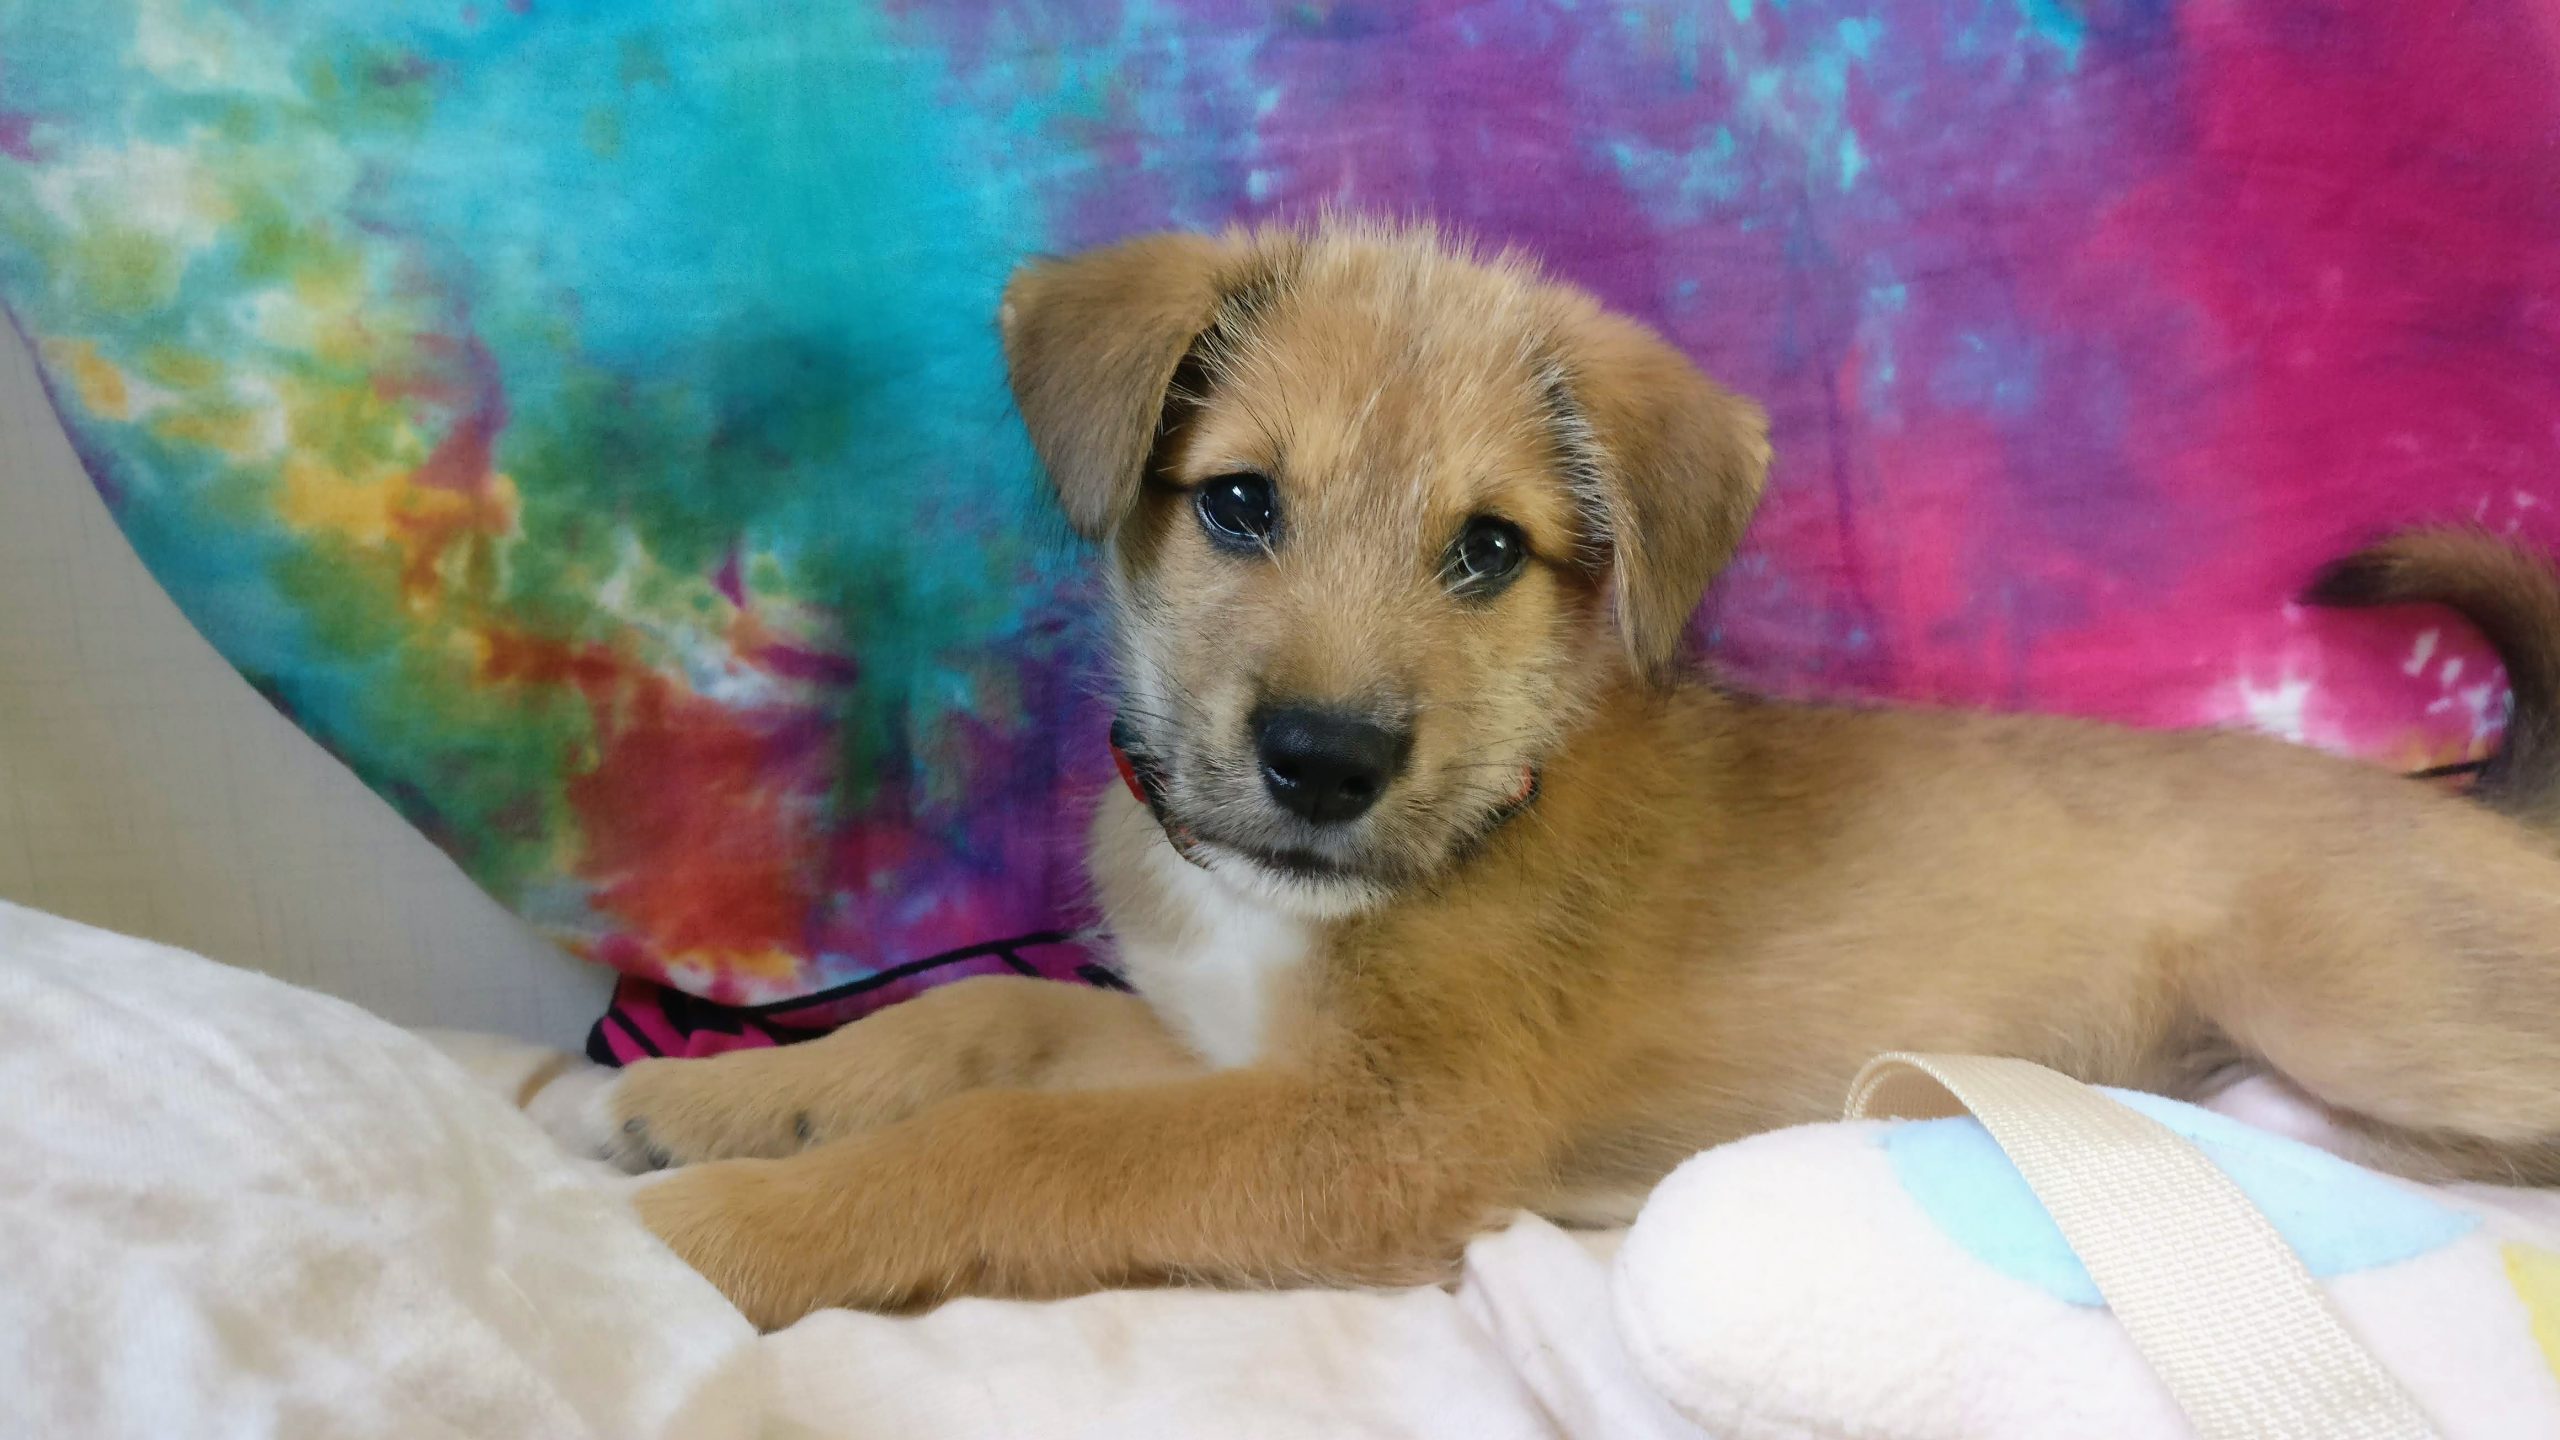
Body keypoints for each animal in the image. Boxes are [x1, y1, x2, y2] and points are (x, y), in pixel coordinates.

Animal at [596, 219, 2560, 1330]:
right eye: (1239, 503)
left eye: (1486, 552)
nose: (1321, 761)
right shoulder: (1218, 1050)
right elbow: (968, 1024)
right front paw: (716, 1100)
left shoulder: (1375, 1137)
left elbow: (1006, 1143)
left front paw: (729, 1231)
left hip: (2371, 1003)